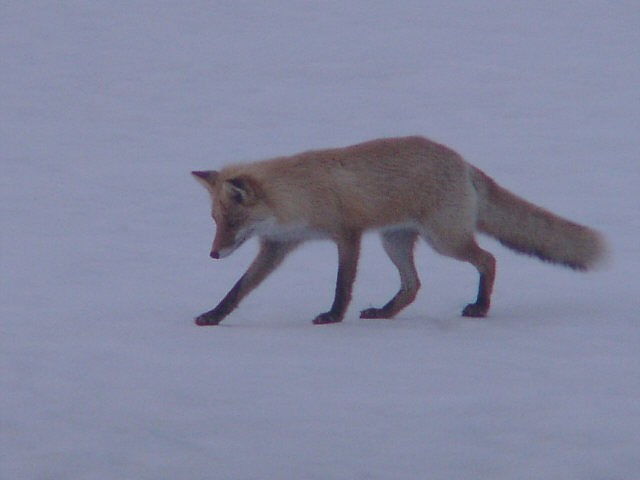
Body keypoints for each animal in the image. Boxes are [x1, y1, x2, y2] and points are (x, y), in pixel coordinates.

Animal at [191, 136, 606, 326]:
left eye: (232, 222)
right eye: (216, 221)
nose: (213, 253)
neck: (297, 194)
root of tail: (462, 161)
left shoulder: (349, 234)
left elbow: (342, 284)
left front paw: (333, 316)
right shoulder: (277, 246)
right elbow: (239, 288)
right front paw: (213, 315)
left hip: (444, 241)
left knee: (488, 259)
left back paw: (481, 306)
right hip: (395, 242)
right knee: (412, 286)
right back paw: (384, 313)